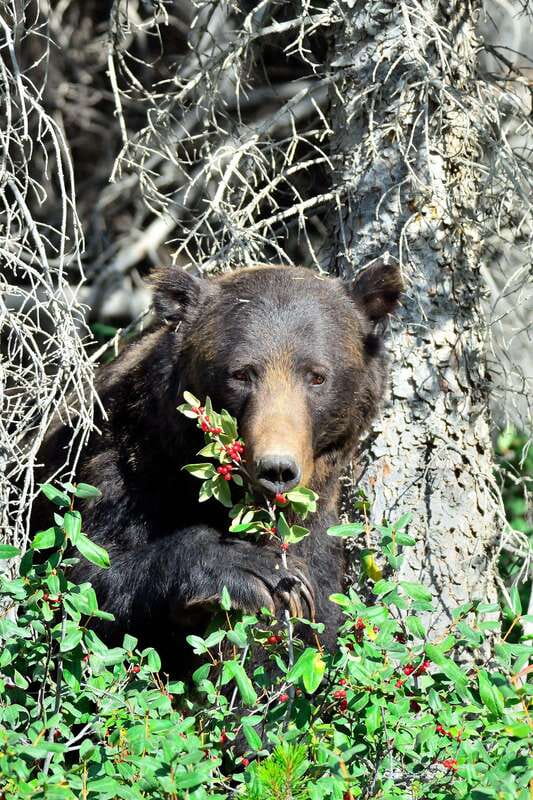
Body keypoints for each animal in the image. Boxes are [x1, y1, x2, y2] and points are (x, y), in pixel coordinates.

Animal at [33, 262, 403, 673]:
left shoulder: (318, 528)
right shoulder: (117, 466)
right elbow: (88, 581)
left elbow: (317, 623)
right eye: (241, 373)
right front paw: (249, 568)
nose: (276, 469)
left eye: (317, 376)